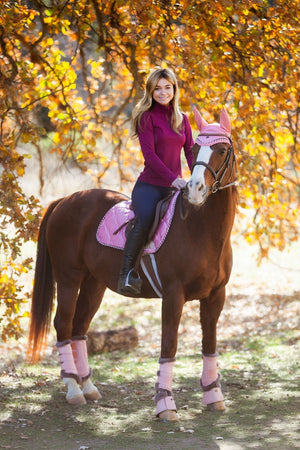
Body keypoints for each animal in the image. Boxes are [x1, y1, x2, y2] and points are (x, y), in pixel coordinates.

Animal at [27, 107, 237, 420]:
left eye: (222, 150)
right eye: (195, 149)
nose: (194, 189)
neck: (200, 228)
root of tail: (65, 200)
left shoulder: (215, 296)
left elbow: (209, 345)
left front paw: (214, 397)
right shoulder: (173, 296)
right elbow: (169, 346)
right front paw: (165, 405)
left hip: (94, 284)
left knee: (79, 327)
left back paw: (88, 387)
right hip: (68, 279)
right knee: (63, 324)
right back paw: (74, 389)